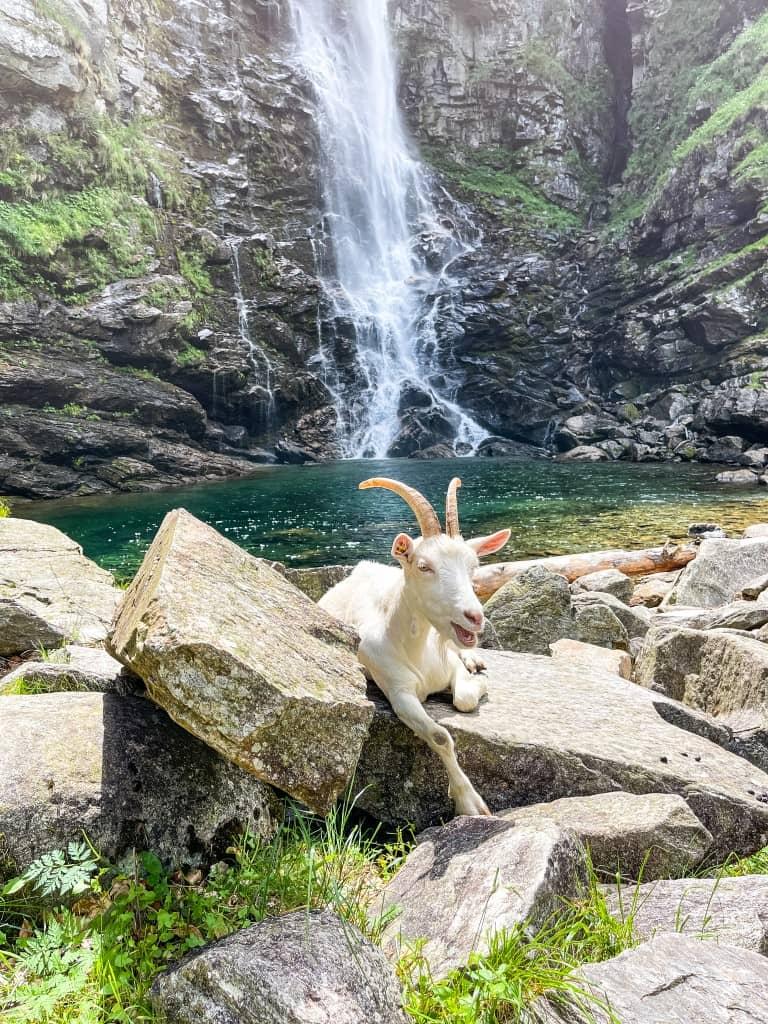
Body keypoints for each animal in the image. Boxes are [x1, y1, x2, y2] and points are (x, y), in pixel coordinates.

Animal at [319, 477, 511, 816]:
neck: (416, 649)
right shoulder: (398, 692)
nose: (475, 617)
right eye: (424, 566)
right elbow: (440, 736)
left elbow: (464, 700)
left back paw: (475, 660)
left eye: (473, 566)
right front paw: (469, 803)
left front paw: (478, 681)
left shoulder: (448, 665)